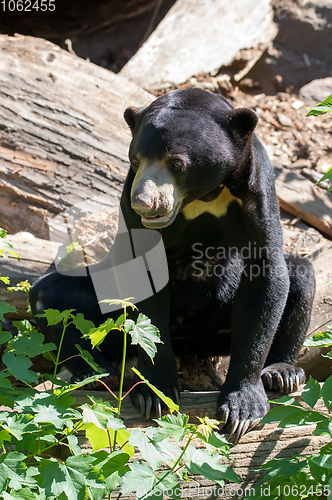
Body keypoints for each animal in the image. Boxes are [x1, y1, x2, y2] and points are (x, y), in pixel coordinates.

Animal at [29, 88, 316, 444]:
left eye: (178, 163)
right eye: (135, 160)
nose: (144, 203)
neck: (202, 196)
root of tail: (192, 343)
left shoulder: (255, 190)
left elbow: (266, 277)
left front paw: (242, 409)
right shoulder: (130, 200)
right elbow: (143, 286)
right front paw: (155, 394)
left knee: (301, 277)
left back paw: (281, 373)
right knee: (50, 297)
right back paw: (98, 371)